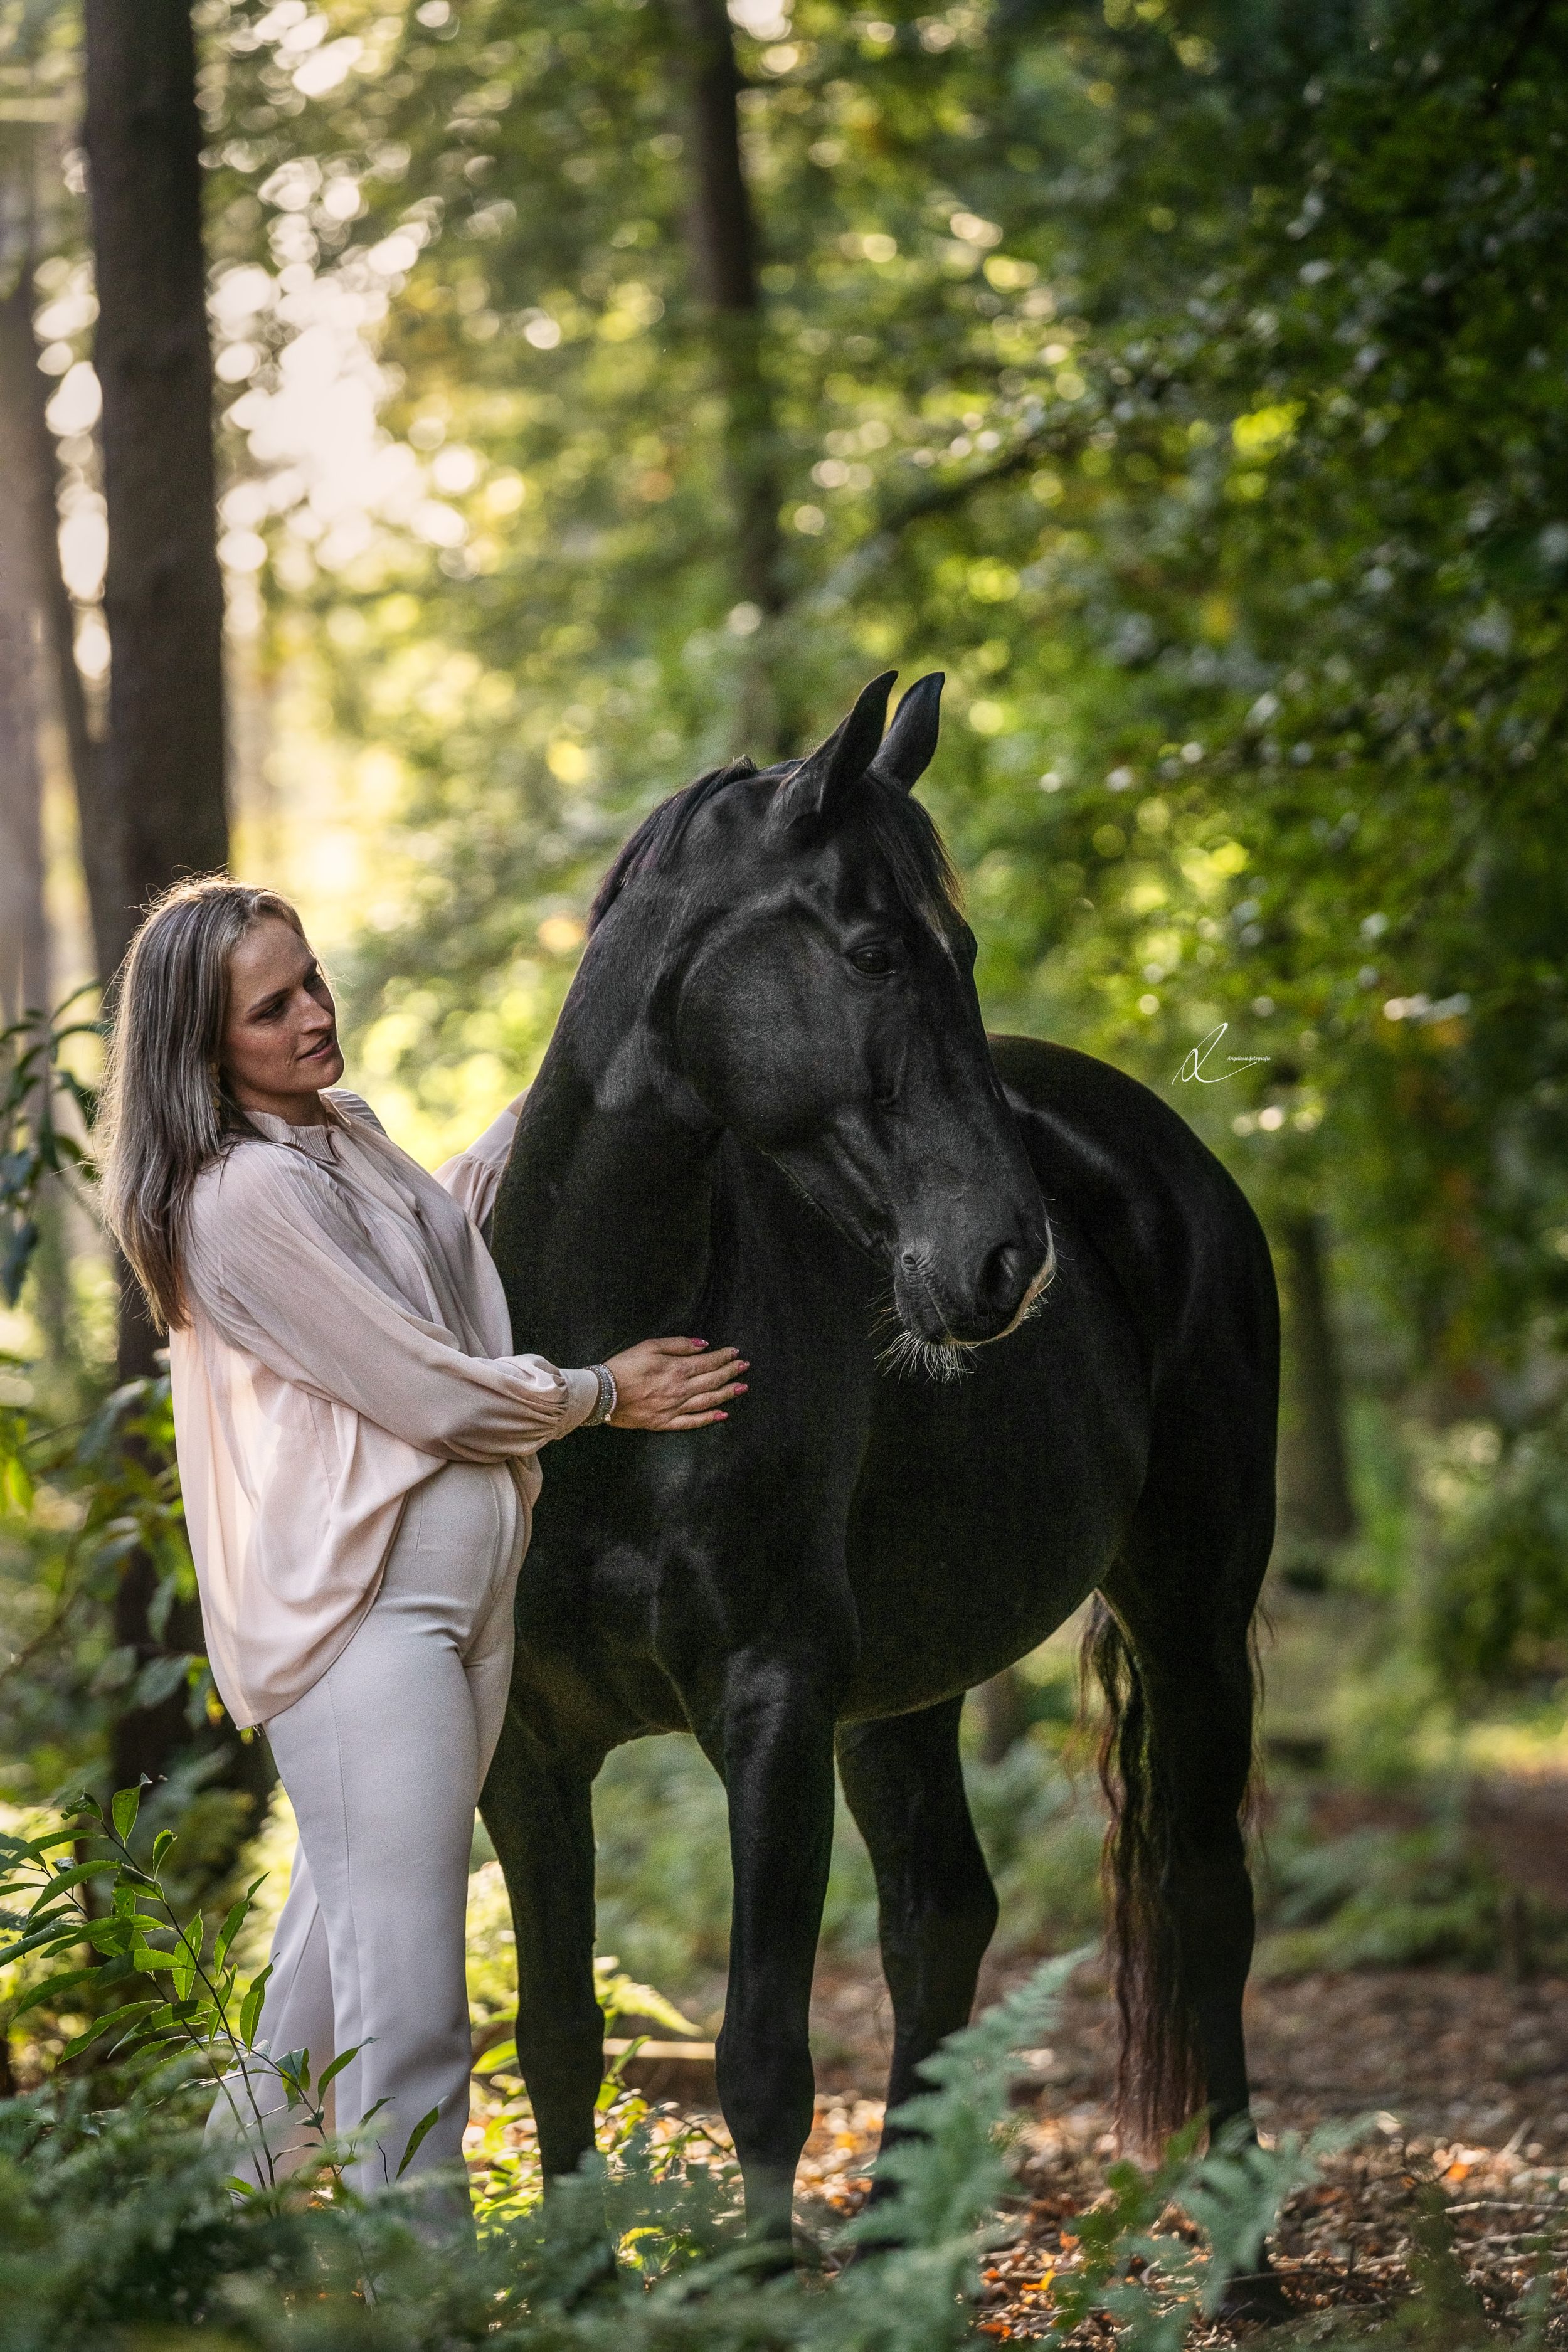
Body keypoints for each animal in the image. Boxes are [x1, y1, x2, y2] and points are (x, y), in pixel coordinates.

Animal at [483, 669, 1279, 2276]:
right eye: (871, 949)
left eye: (958, 949)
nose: (1007, 1258)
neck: (602, 1377)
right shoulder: (529, 1750)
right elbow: (557, 2040)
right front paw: (588, 2281)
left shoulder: (773, 1705)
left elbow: (759, 2054)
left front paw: (764, 2275)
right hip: (909, 1682)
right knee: (940, 1914)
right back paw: (912, 2242)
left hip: (1189, 1619)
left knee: (1197, 1895)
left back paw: (1237, 2259)